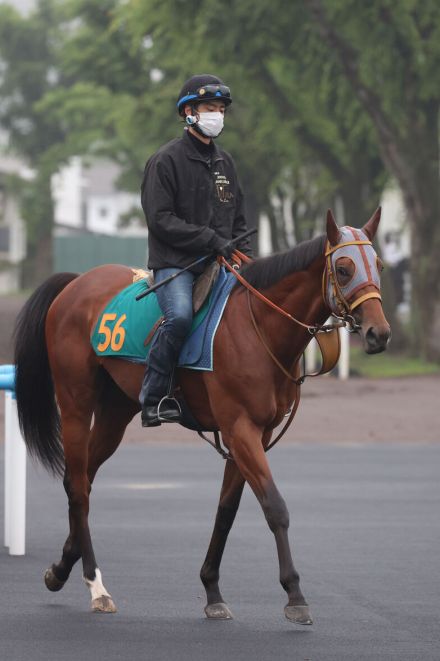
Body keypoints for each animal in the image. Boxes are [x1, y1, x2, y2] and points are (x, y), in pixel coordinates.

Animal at [14, 209, 392, 620]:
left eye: (379, 266)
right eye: (343, 268)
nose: (379, 333)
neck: (258, 324)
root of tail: (75, 283)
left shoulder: (254, 435)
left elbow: (227, 510)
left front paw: (212, 590)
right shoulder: (240, 429)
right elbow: (275, 507)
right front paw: (295, 594)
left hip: (115, 412)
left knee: (80, 479)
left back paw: (61, 569)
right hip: (75, 404)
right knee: (79, 486)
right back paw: (96, 585)